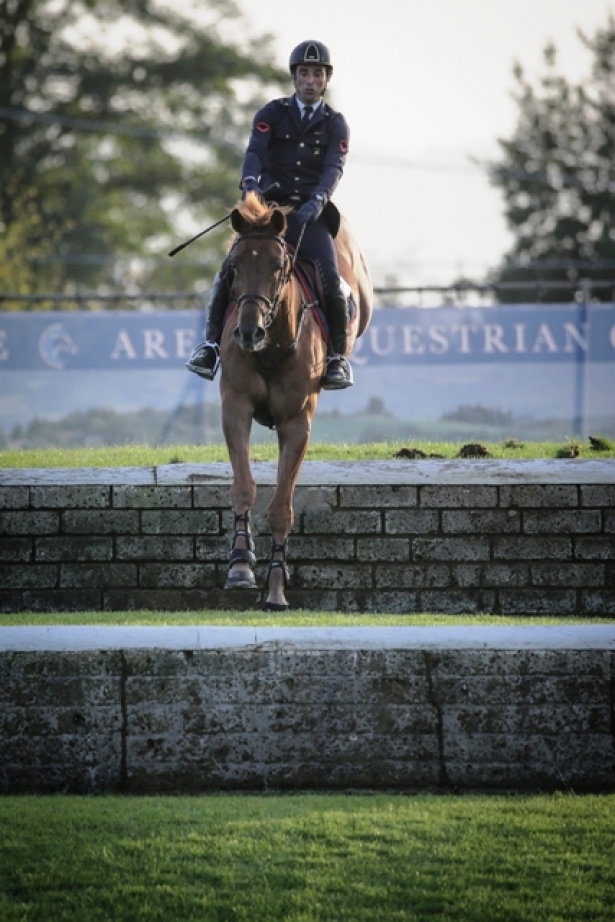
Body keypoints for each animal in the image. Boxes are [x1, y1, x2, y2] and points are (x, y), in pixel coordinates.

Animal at [218, 190, 370, 608]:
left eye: (276, 265)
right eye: (234, 267)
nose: (248, 332)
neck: (271, 346)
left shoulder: (296, 424)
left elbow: (282, 508)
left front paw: (275, 587)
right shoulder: (235, 407)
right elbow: (244, 486)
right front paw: (240, 564)